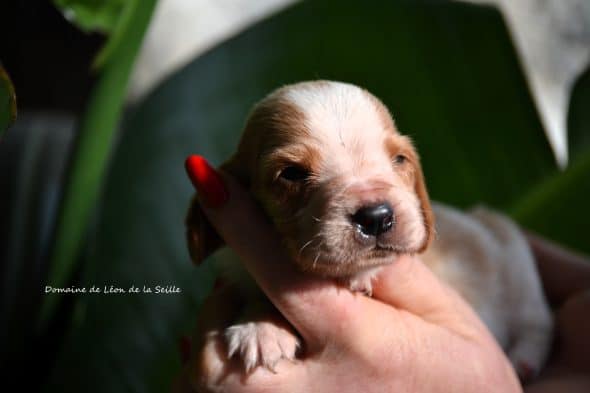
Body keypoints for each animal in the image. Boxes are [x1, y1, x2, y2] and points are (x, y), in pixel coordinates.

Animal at [188, 80, 556, 380]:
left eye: (400, 160)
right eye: (291, 173)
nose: (377, 217)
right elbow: (256, 293)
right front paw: (260, 328)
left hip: (515, 258)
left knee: (538, 320)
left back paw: (524, 359)